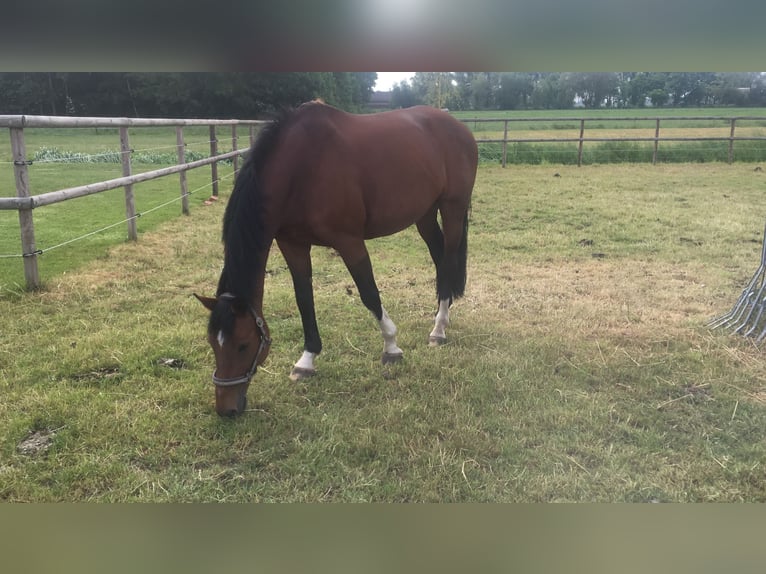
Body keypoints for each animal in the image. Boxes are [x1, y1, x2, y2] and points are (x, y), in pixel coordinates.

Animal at [195, 102, 476, 418]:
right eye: (212, 343)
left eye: (243, 345)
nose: (226, 409)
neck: (301, 167)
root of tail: (458, 126)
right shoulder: (292, 244)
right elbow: (304, 299)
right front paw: (306, 361)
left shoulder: (349, 241)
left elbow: (369, 293)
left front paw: (391, 346)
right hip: (424, 215)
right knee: (440, 259)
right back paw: (443, 315)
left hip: (452, 208)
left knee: (448, 261)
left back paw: (438, 329)